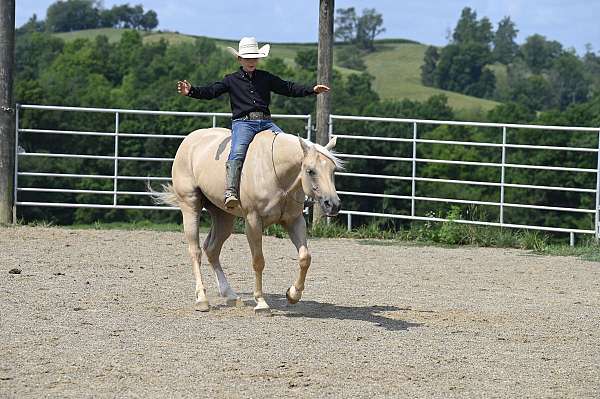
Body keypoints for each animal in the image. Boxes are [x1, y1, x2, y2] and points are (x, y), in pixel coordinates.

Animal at [154, 129, 342, 316]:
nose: (333, 204)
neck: (276, 173)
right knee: (196, 251)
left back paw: (230, 295)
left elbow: (305, 258)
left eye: (333, 170)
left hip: (223, 216)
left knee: (212, 250)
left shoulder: (294, 220)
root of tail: (190, 140)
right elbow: (258, 261)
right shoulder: (253, 221)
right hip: (190, 205)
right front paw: (261, 302)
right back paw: (202, 299)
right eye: (310, 171)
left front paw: (293, 294)